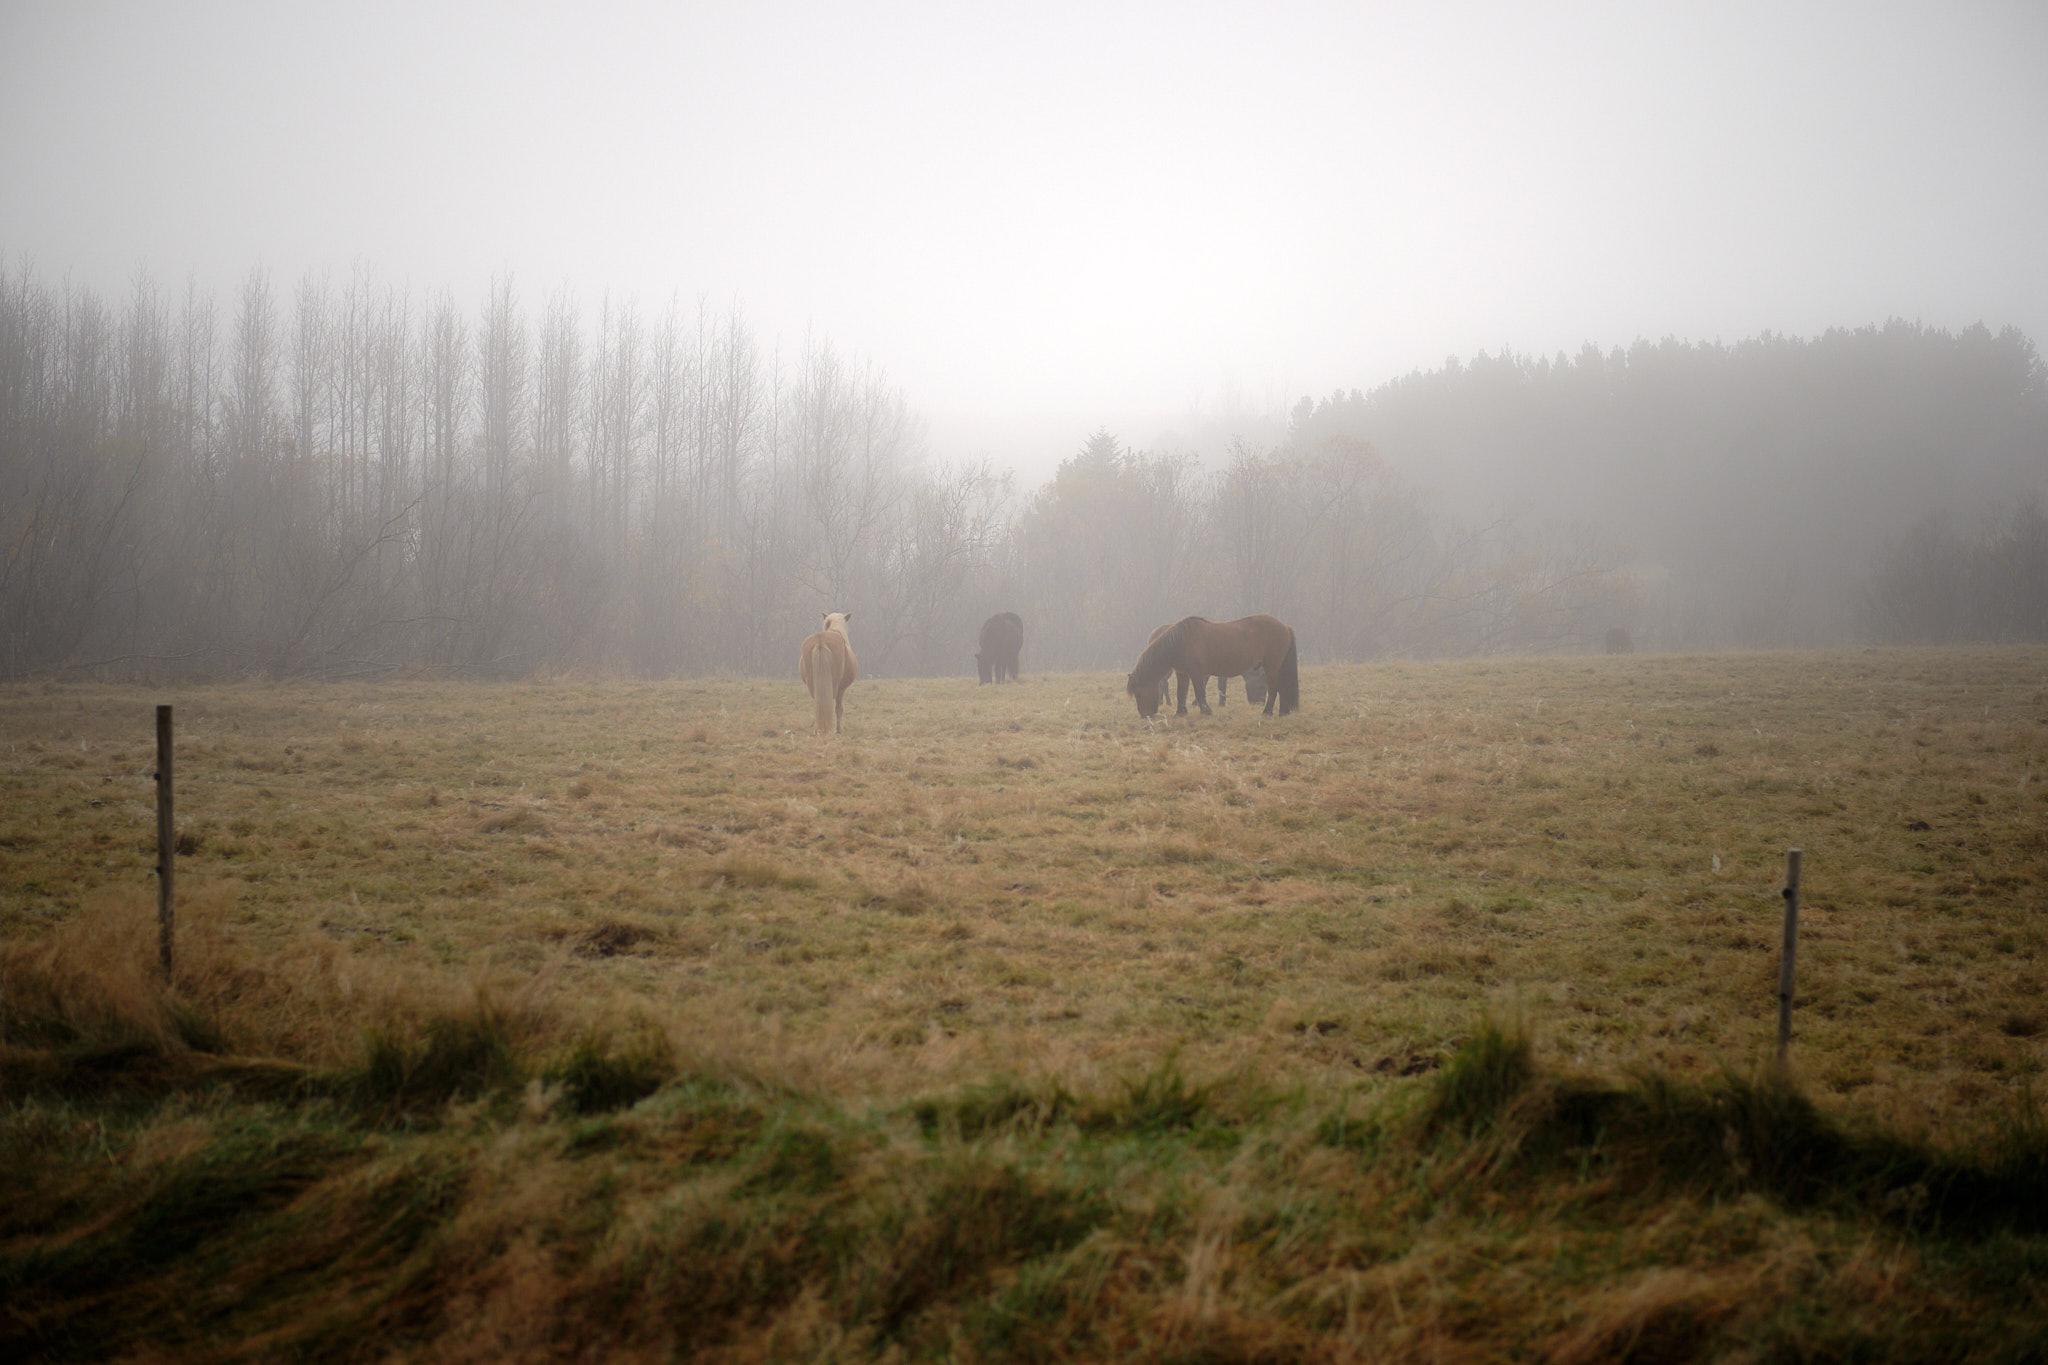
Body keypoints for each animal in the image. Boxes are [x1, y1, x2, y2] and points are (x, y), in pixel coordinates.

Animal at [1128, 615, 1298, 718]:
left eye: (1138, 693)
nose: (1145, 715)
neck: (1181, 642)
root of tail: (1285, 627)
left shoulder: (1197, 673)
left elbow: (1200, 692)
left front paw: (1205, 711)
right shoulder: (1182, 673)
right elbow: (1181, 693)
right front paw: (1180, 713)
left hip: (1272, 667)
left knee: (1274, 688)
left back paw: (1267, 712)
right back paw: (1283, 712)